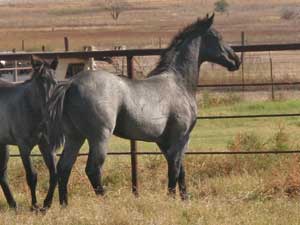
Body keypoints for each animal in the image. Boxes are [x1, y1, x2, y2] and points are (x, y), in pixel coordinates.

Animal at [0, 55, 58, 209]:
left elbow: (54, 173)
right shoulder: (24, 147)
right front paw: (35, 206)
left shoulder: (46, 145)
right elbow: (31, 176)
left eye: (55, 82)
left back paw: (13, 205)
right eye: (38, 83)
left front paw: (47, 204)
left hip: (3, 145)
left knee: (2, 173)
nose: (49, 112)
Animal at [47, 14, 240, 206]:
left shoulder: (164, 141)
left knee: (63, 167)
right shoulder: (181, 137)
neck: (178, 83)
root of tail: (72, 83)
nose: (236, 61)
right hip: (99, 137)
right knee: (93, 169)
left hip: (75, 136)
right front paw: (173, 199)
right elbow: (175, 169)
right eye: (217, 37)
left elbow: (179, 169)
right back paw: (107, 202)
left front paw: (184, 198)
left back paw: (64, 205)